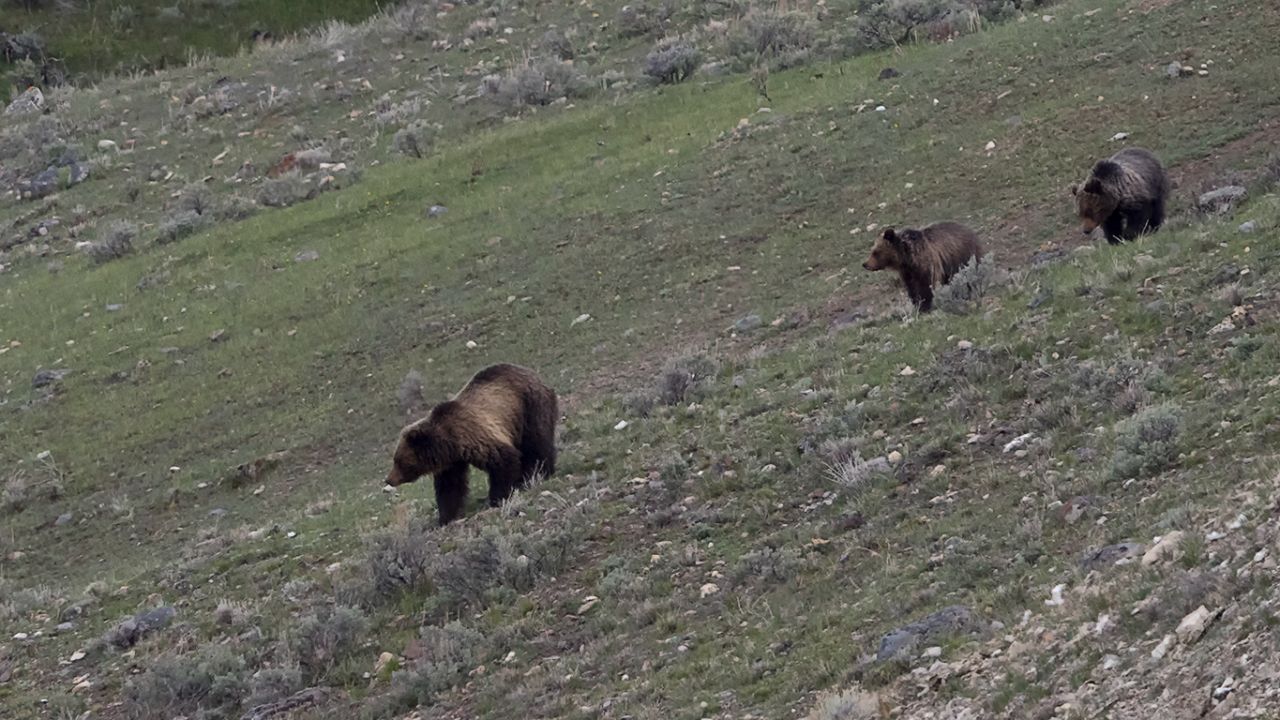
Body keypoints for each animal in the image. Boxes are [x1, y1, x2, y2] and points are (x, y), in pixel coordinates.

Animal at [385, 363, 557, 526]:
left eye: (398, 461)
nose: (388, 479)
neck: (450, 444)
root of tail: (533, 373)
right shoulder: (452, 463)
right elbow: (450, 487)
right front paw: (446, 517)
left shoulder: (476, 435)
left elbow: (503, 461)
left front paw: (497, 498)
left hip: (530, 406)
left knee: (536, 443)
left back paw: (540, 472)